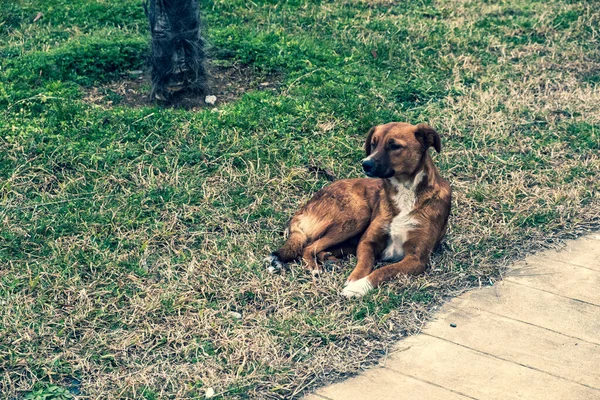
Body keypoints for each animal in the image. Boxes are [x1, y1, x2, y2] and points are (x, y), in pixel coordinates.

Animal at [264, 122, 452, 296]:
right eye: (373, 144)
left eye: (394, 146)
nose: (365, 164)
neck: (403, 192)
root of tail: (302, 210)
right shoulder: (367, 242)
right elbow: (365, 263)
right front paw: (354, 280)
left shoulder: (416, 259)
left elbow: (383, 270)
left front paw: (359, 286)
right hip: (358, 216)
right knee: (308, 247)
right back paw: (315, 267)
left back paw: (327, 260)